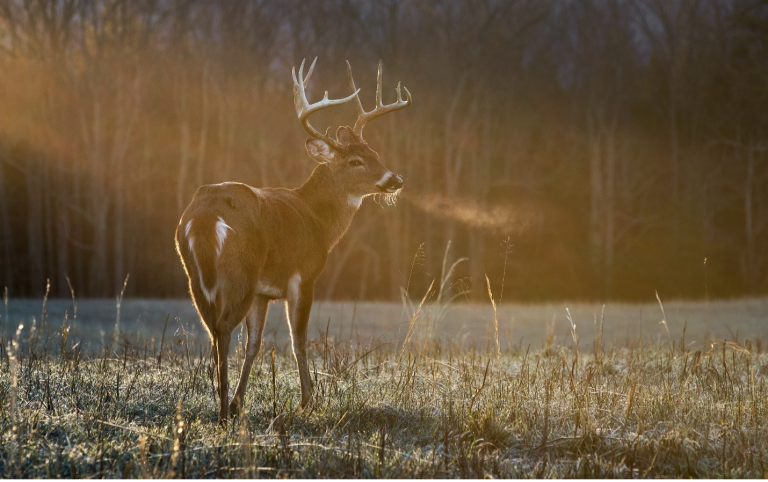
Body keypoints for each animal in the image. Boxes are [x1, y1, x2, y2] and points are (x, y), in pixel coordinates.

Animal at [174, 58, 411, 423]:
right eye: (355, 161)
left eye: (374, 152)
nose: (395, 180)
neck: (318, 220)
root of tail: (202, 219)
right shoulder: (303, 275)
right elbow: (298, 340)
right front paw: (308, 401)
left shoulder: (263, 290)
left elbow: (254, 344)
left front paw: (241, 401)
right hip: (239, 273)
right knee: (223, 329)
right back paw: (223, 413)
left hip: (195, 277)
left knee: (213, 331)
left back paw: (225, 405)